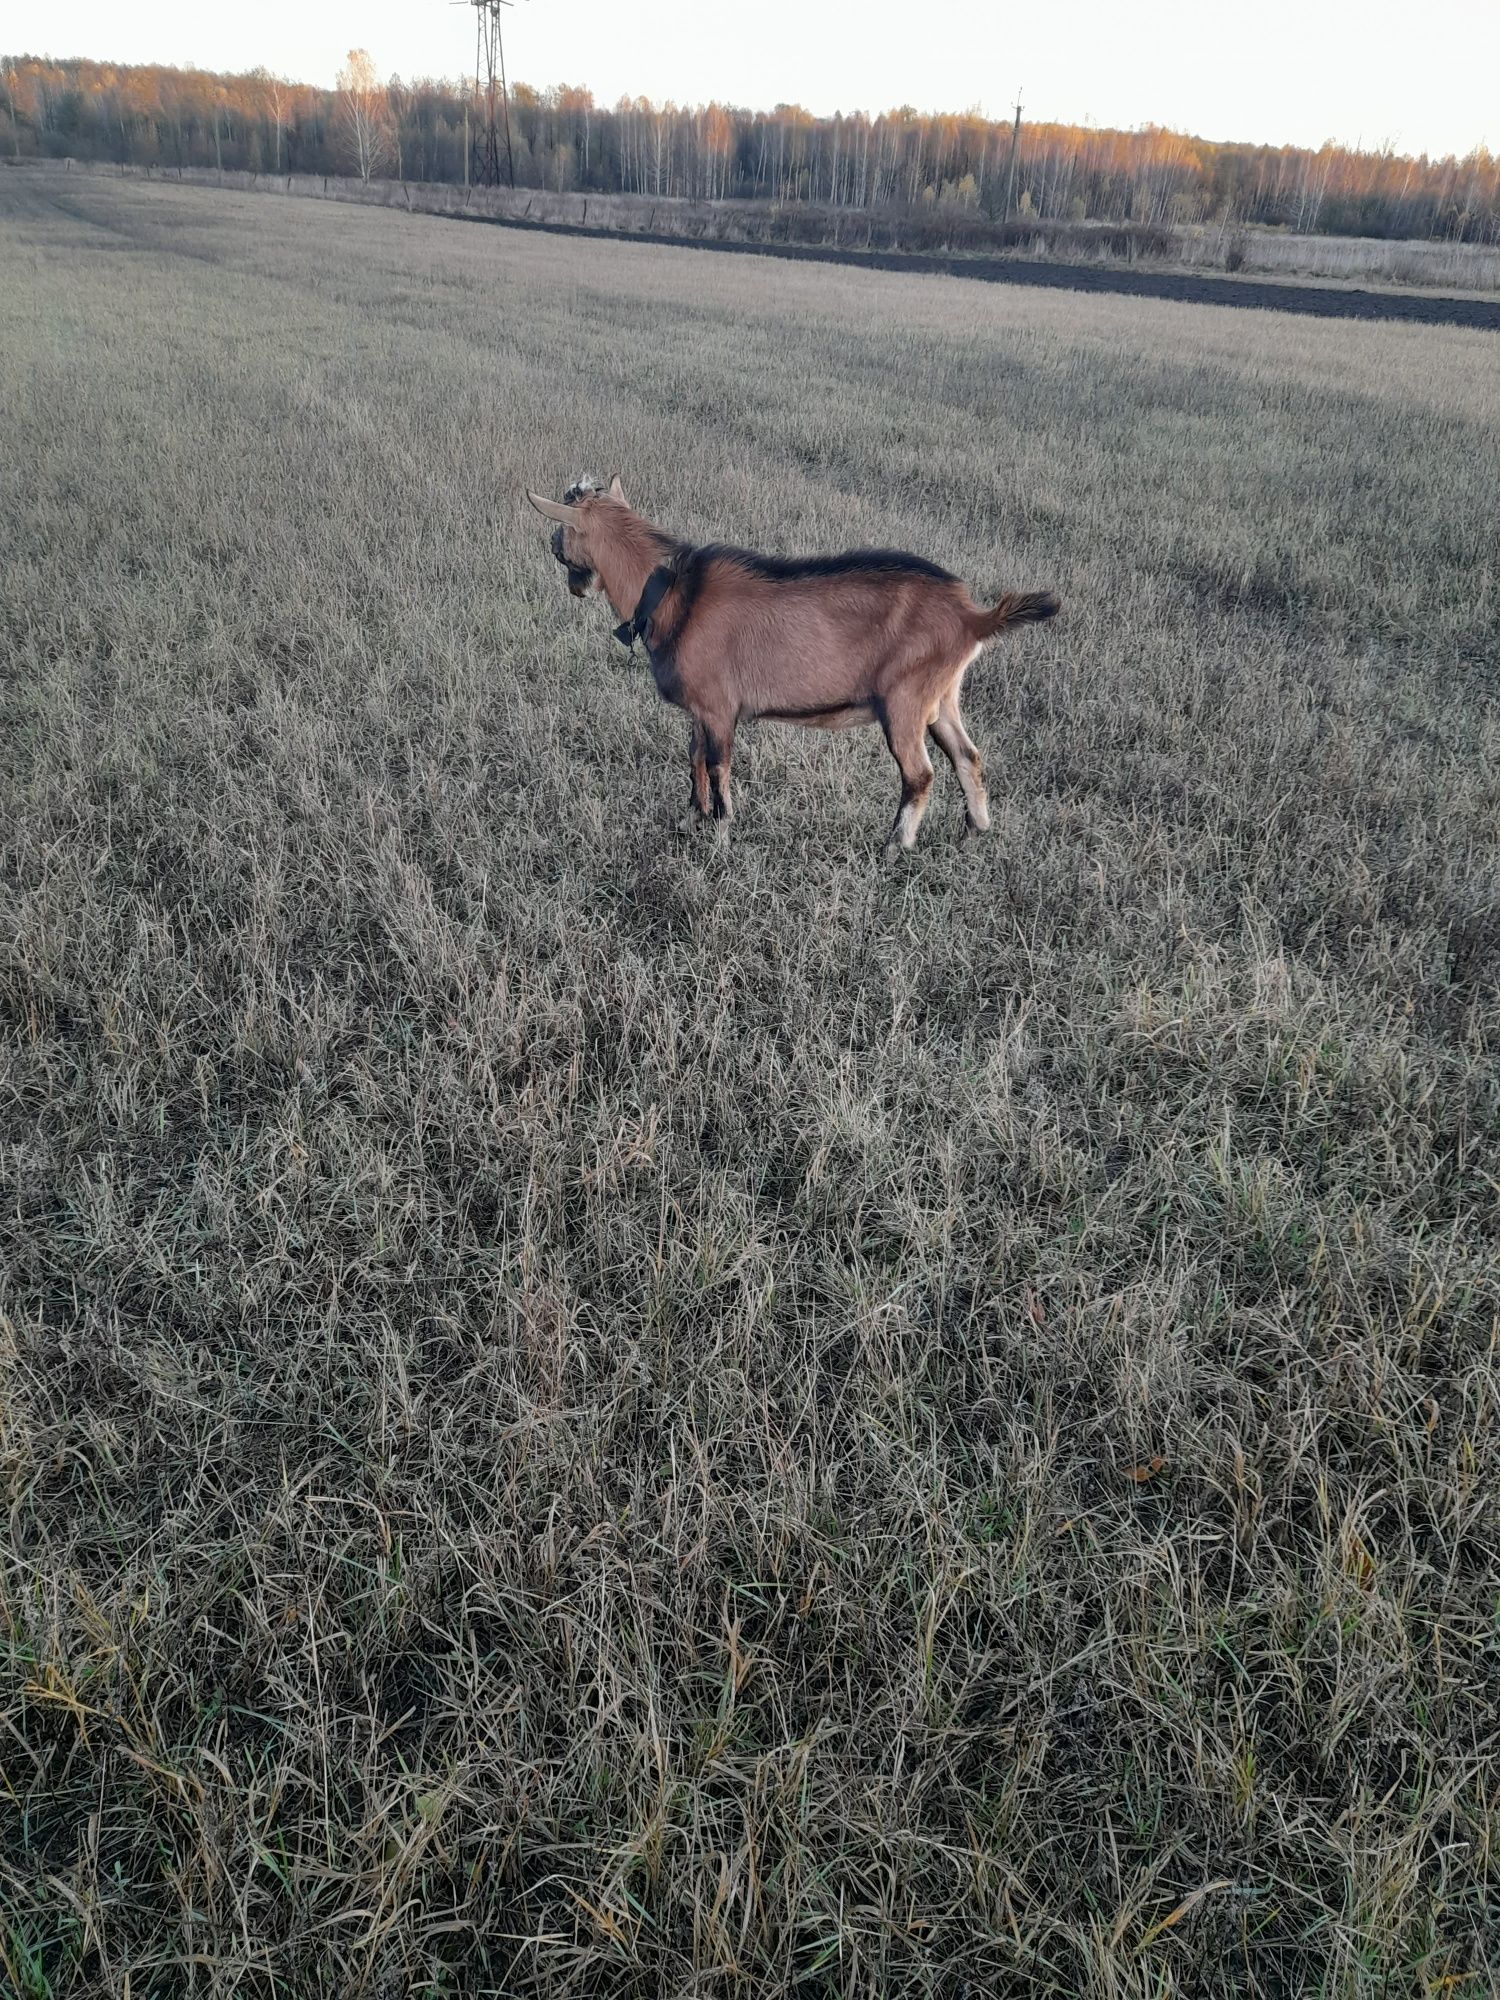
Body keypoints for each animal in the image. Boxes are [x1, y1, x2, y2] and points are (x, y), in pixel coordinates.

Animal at [524, 476, 1056, 852]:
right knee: (967, 756)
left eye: (563, 529)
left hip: (905, 698)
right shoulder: (700, 709)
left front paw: (720, 840)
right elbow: (693, 761)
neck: (673, 594)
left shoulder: (719, 707)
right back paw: (973, 833)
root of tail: (971, 615)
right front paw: (688, 822)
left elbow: (717, 768)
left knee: (919, 774)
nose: (551, 546)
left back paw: (894, 847)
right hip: (941, 696)